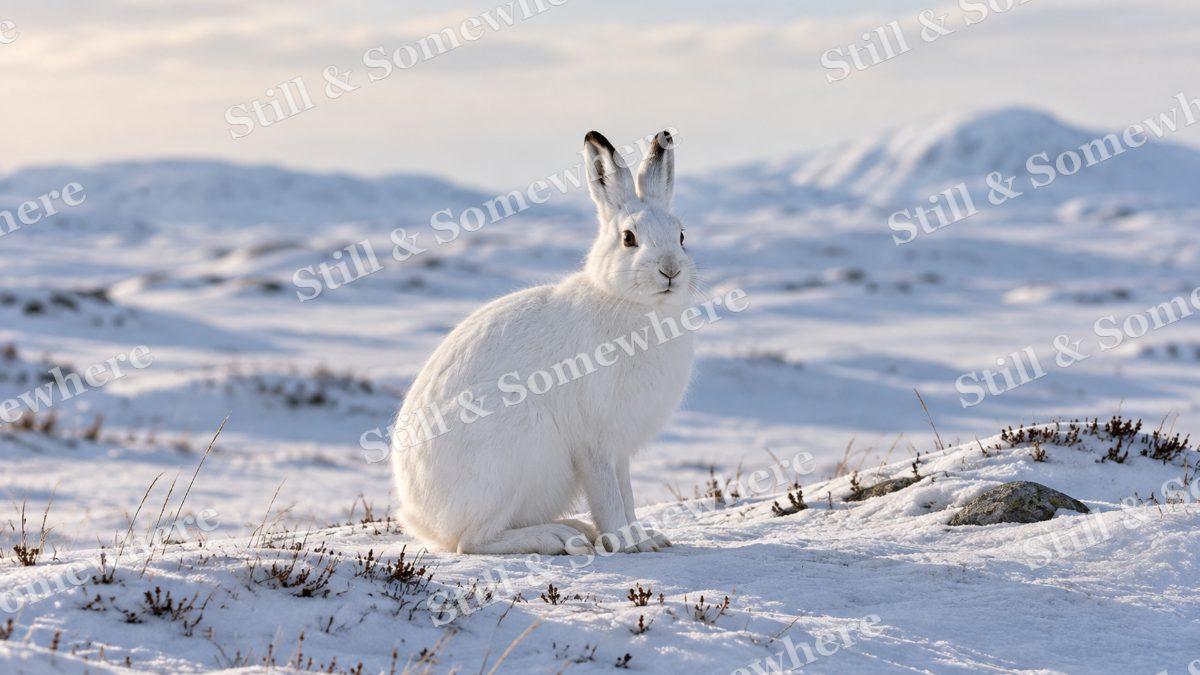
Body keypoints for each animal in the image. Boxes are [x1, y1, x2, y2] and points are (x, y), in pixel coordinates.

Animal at [390, 129, 695, 555]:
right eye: (628, 239)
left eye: (681, 236)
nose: (671, 270)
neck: (629, 303)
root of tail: (422, 520)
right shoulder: (595, 445)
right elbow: (609, 497)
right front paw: (625, 543)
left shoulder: (619, 451)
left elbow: (627, 495)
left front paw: (645, 539)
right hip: (514, 441)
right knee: (472, 542)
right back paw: (557, 538)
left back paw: (574, 529)